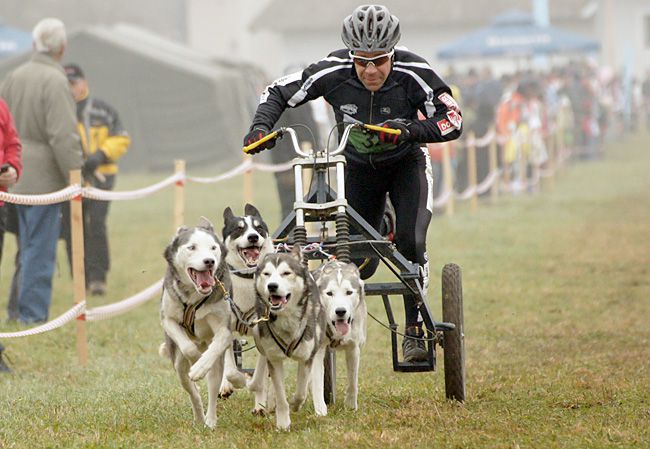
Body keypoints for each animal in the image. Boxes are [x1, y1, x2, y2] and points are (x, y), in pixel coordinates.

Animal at [159, 217, 246, 428]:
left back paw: (210, 420)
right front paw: (196, 360)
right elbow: (187, 347)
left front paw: (200, 365)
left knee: (214, 384)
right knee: (192, 390)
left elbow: (219, 343)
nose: (209, 261)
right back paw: (199, 417)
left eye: (213, 247)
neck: (195, 296)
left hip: (217, 364)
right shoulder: (168, 318)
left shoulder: (224, 327)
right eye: (192, 247)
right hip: (178, 366)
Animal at [219, 203, 272, 396]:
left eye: (259, 227)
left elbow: (261, 371)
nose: (253, 237)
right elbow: (231, 369)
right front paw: (235, 381)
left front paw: (256, 387)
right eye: (238, 229)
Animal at [246, 248, 326, 430]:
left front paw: (295, 404)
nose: (272, 286)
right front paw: (283, 423)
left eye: (286, 273)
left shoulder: (306, 357)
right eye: (267, 274)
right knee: (265, 373)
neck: (286, 318)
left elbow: (301, 392)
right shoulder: (274, 358)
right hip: (259, 336)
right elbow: (281, 395)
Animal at [312, 260, 368, 410]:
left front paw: (350, 406)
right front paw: (320, 410)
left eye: (349, 292)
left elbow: (353, 381)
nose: (340, 311)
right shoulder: (317, 350)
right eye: (329, 293)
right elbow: (317, 381)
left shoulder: (354, 348)